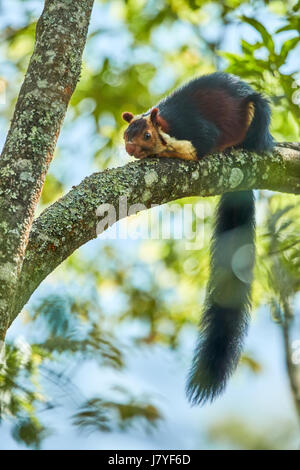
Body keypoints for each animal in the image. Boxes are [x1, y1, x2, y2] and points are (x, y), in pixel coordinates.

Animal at [122, 70, 274, 404]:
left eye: (147, 136)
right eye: (126, 134)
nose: (130, 149)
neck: (167, 126)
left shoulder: (196, 131)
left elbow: (198, 147)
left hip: (255, 116)